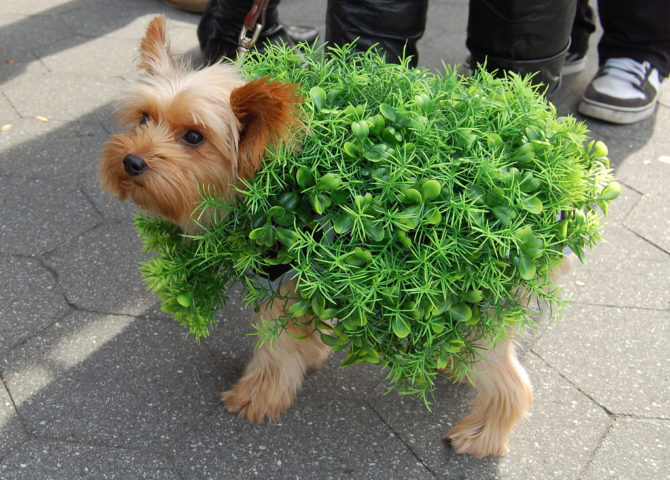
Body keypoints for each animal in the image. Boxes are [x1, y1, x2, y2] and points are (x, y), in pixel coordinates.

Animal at [105, 15, 544, 458]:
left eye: (194, 137)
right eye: (143, 118)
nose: (131, 161)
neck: (269, 174)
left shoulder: (283, 277)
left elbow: (276, 347)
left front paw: (257, 397)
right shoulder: (308, 282)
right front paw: (312, 353)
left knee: (512, 382)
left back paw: (481, 435)